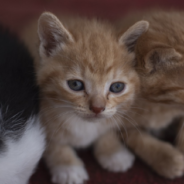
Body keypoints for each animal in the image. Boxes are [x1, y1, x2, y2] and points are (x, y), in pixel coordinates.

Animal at [21, 12, 148, 183]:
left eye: (117, 87)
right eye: (75, 84)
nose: (97, 108)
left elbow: (106, 129)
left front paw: (113, 152)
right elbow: (52, 143)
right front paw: (68, 167)